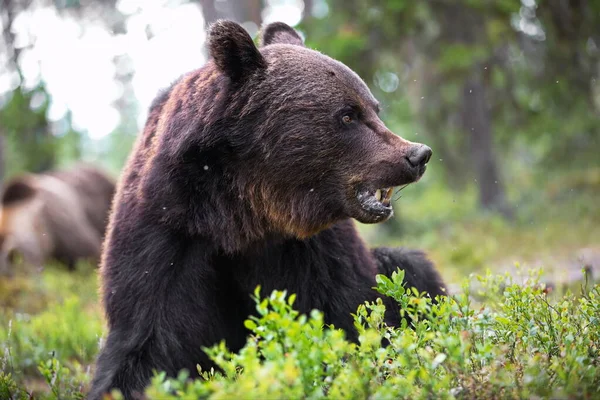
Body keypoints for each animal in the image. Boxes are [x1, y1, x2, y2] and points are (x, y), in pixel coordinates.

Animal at [89, 21, 446, 400]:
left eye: (374, 108)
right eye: (348, 114)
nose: (417, 155)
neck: (243, 216)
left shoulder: (312, 249)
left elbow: (352, 312)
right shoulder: (166, 233)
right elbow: (146, 340)